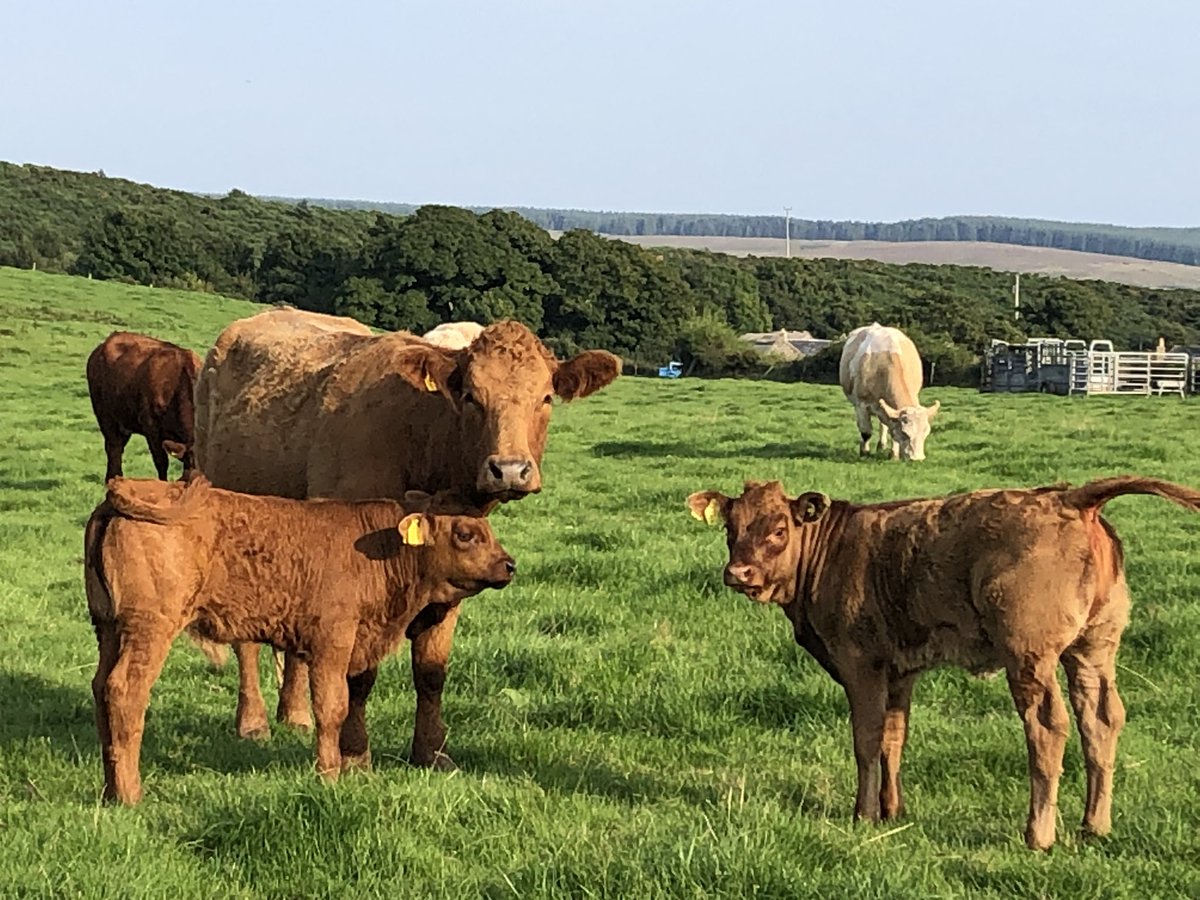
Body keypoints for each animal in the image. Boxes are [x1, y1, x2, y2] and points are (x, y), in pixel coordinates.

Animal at [84, 474, 515, 805]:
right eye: (465, 533)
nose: (509, 565)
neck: (374, 550)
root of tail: (125, 489)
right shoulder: (332, 643)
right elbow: (332, 708)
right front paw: (329, 774)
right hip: (149, 629)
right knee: (125, 692)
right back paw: (130, 795)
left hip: (108, 628)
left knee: (101, 688)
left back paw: (110, 789)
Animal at [193, 308, 621, 763]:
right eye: (471, 396)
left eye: (545, 398)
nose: (509, 470)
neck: (422, 435)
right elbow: (360, 675)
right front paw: (354, 753)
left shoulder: (451, 581)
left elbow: (431, 671)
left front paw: (431, 752)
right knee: (246, 643)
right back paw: (252, 722)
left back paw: (295, 715)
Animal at [687, 475, 1200, 850]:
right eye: (730, 529)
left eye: (779, 529)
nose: (738, 573)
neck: (832, 553)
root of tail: (1070, 498)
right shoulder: (900, 671)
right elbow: (894, 739)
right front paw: (892, 811)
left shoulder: (862, 664)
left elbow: (866, 740)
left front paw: (863, 814)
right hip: (1093, 649)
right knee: (1101, 720)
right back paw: (1094, 825)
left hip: (1029, 655)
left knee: (1048, 727)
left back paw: (1039, 834)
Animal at [838, 323, 939, 460]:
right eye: (905, 433)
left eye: (926, 432)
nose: (917, 459)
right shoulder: (861, 405)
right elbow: (866, 432)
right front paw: (864, 453)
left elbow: (893, 432)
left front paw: (894, 455)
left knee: (884, 425)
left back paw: (881, 446)